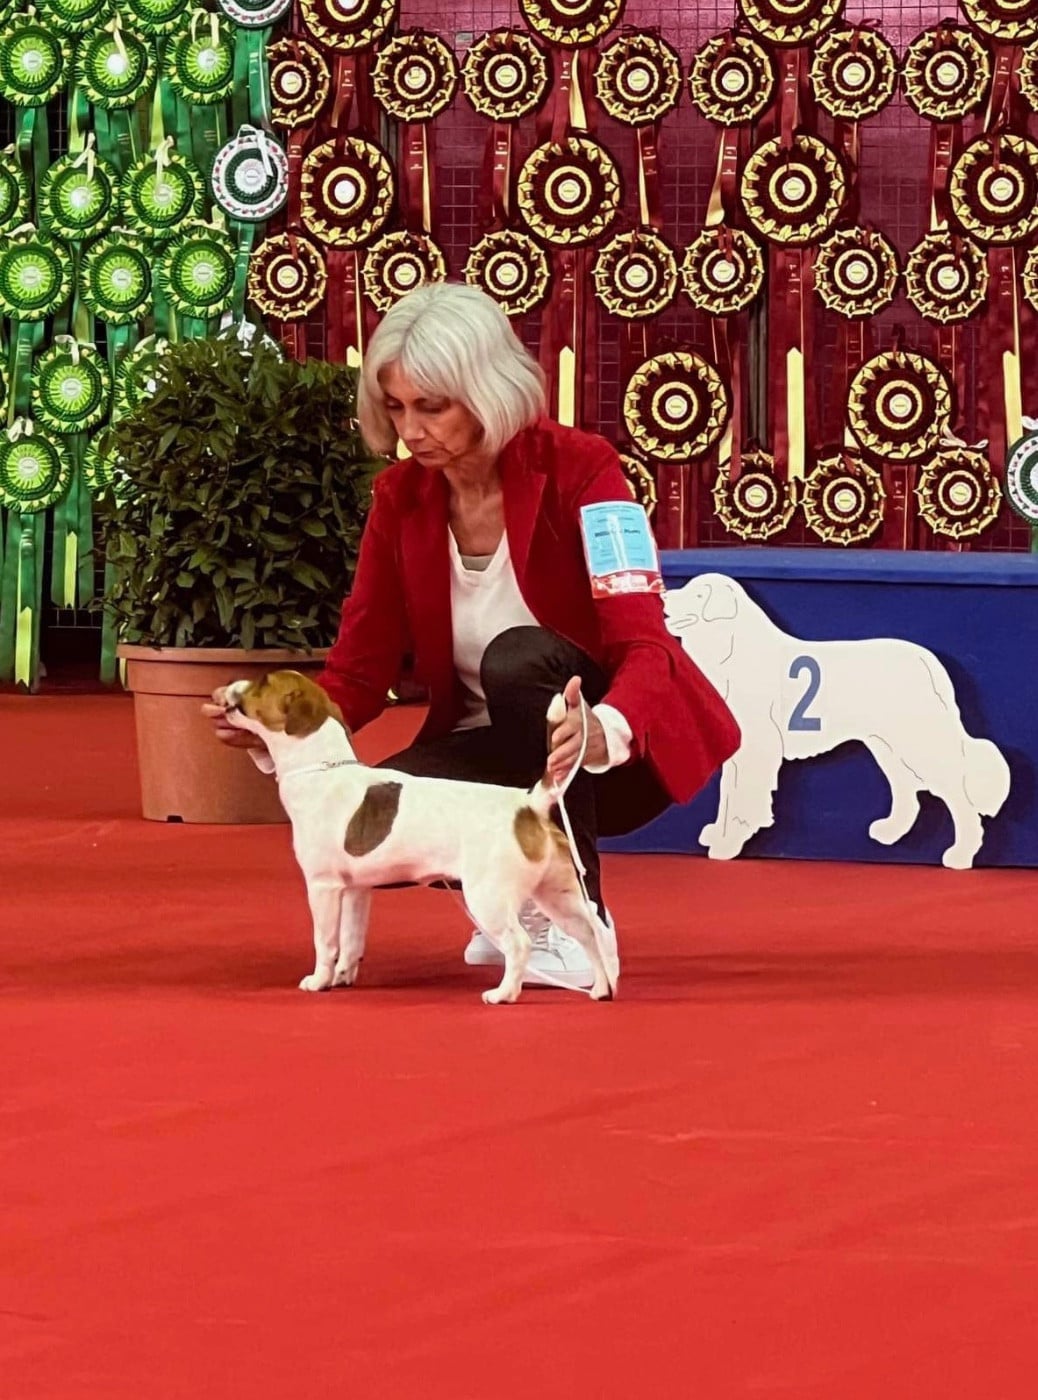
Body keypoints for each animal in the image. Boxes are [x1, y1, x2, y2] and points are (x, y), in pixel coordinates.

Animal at [221, 671, 617, 1004]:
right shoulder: (357, 890)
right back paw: (601, 988)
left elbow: (325, 941)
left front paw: (319, 981)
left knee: (518, 943)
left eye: (262, 683)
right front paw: (343, 976)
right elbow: (351, 939)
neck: (321, 770)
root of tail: (527, 803)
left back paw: (503, 994)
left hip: (487, 896)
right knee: (591, 931)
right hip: (557, 895)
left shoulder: (323, 887)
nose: (230, 687)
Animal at [664, 573, 1011, 870]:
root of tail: (927, 659)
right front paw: (717, 833)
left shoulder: (757, 748)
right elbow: (727, 794)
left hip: (920, 744)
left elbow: (742, 798)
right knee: (907, 791)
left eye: (698, 594)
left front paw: (728, 844)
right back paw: (889, 831)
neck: (729, 649)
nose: (664, 596)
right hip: (886, 746)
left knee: (958, 794)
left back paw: (961, 855)